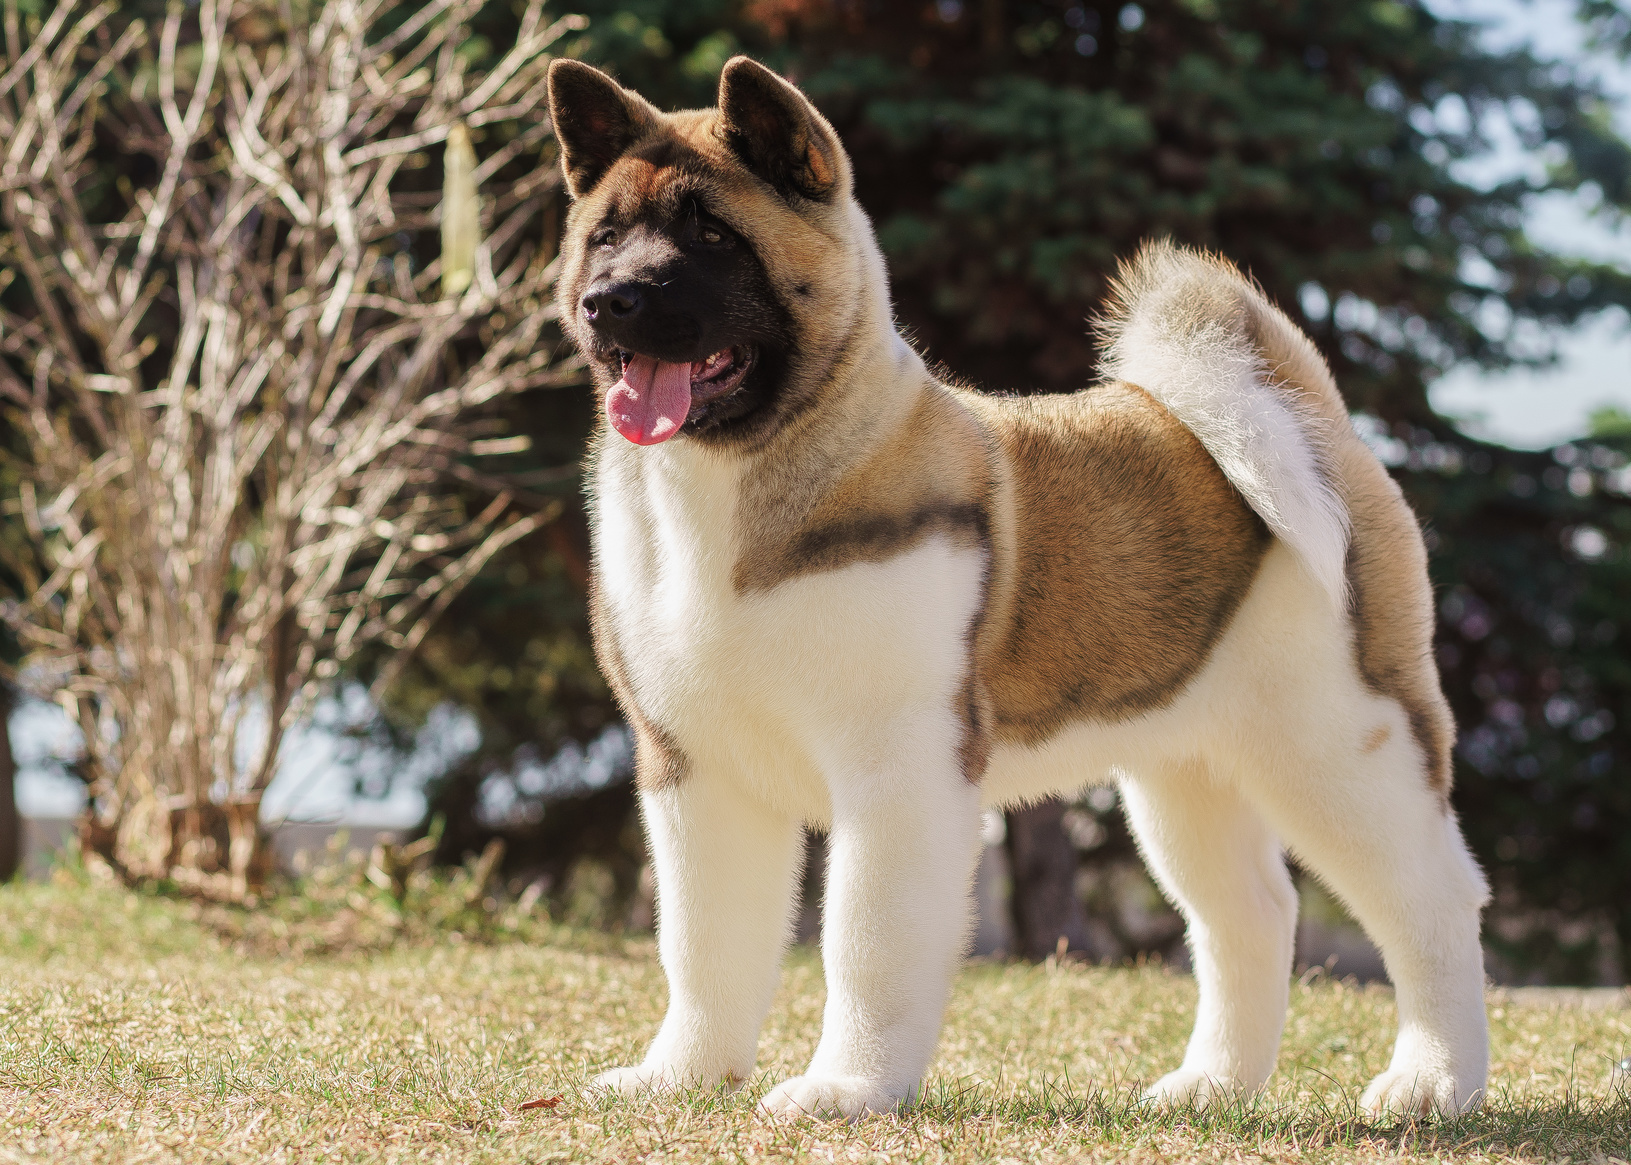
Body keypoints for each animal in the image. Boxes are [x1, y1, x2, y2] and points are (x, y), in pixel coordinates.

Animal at [544, 52, 1493, 1116]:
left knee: (1430, 900)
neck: (742, 477)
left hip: (1342, 742)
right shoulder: (695, 770)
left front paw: (845, 1089)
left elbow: (864, 942)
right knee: (1250, 909)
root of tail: (1309, 415)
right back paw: (1210, 1087)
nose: (610, 300)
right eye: (605, 237)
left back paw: (1431, 1084)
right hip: (1186, 770)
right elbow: (705, 944)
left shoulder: (898, 769)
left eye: (712, 235)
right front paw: (680, 1076)